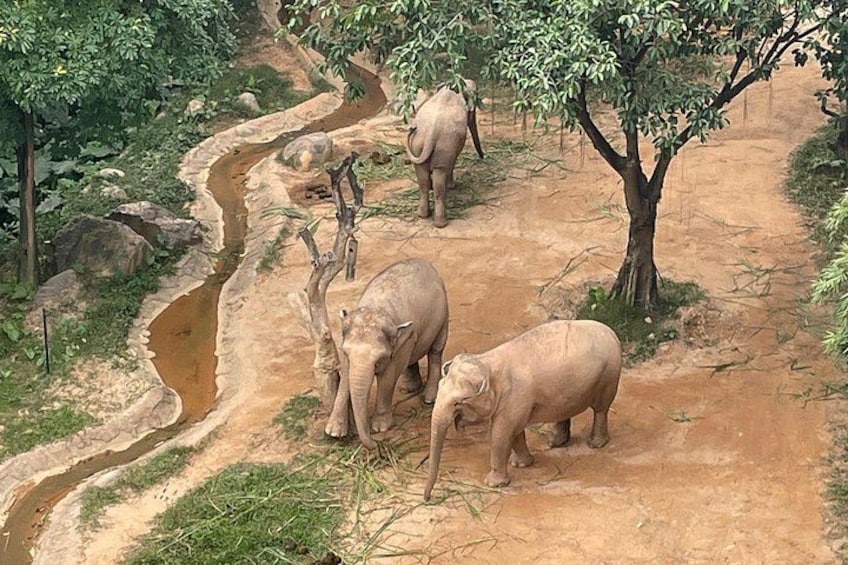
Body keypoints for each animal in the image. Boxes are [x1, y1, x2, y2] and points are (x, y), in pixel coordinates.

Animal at [325, 258, 449, 450]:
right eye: (346, 353)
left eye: (378, 361)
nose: (377, 445)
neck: (376, 308)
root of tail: (426, 264)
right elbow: (346, 375)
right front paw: (334, 432)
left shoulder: (399, 343)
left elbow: (388, 377)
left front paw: (380, 428)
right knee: (412, 358)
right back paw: (408, 389)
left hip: (443, 315)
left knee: (435, 351)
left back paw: (429, 398)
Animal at [406, 78, 485, 228]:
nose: (483, 157)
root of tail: (431, 132)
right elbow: (452, 162)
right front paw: (452, 186)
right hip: (443, 146)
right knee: (439, 178)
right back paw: (441, 223)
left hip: (418, 144)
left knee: (422, 178)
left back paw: (423, 215)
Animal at [423, 319, 622, 500]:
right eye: (439, 386)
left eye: (458, 402)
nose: (427, 498)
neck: (488, 362)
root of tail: (612, 333)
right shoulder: (514, 404)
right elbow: (516, 431)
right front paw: (521, 464)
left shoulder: (515, 397)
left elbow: (501, 434)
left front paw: (493, 484)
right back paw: (555, 442)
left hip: (608, 376)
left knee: (601, 409)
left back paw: (595, 444)